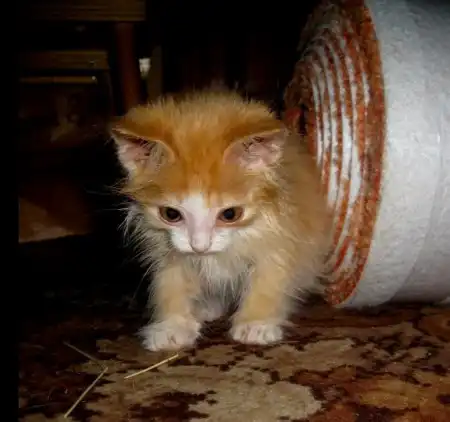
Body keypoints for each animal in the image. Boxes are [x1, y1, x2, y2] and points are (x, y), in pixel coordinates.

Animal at [110, 89, 331, 351]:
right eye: (171, 214)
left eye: (230, 215)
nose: (199, 246)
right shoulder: (164, 247)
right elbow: (170, 281)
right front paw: (172, 325)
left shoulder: (283, 233)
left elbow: (270, 277)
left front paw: (256, 322)